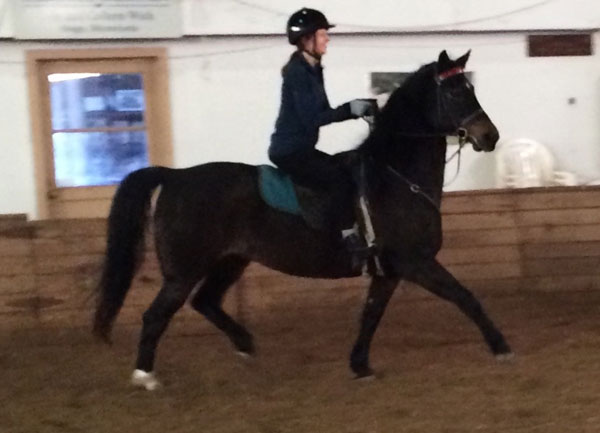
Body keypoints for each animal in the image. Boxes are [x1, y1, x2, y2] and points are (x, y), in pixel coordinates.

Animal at [92, 49, 510, 388]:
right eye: (455, 93)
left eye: (470, 89)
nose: (490, 136)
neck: (396, 175)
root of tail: (175, 176)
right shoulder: (416, 261)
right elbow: (465, 297)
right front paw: (501, 346)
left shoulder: (388, 271)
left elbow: (370, 315)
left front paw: (360, 366)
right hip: (184, 271)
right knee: (156, 316)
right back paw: (144, 375)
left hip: (230, 261)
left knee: (206, 302)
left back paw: (246, 346)